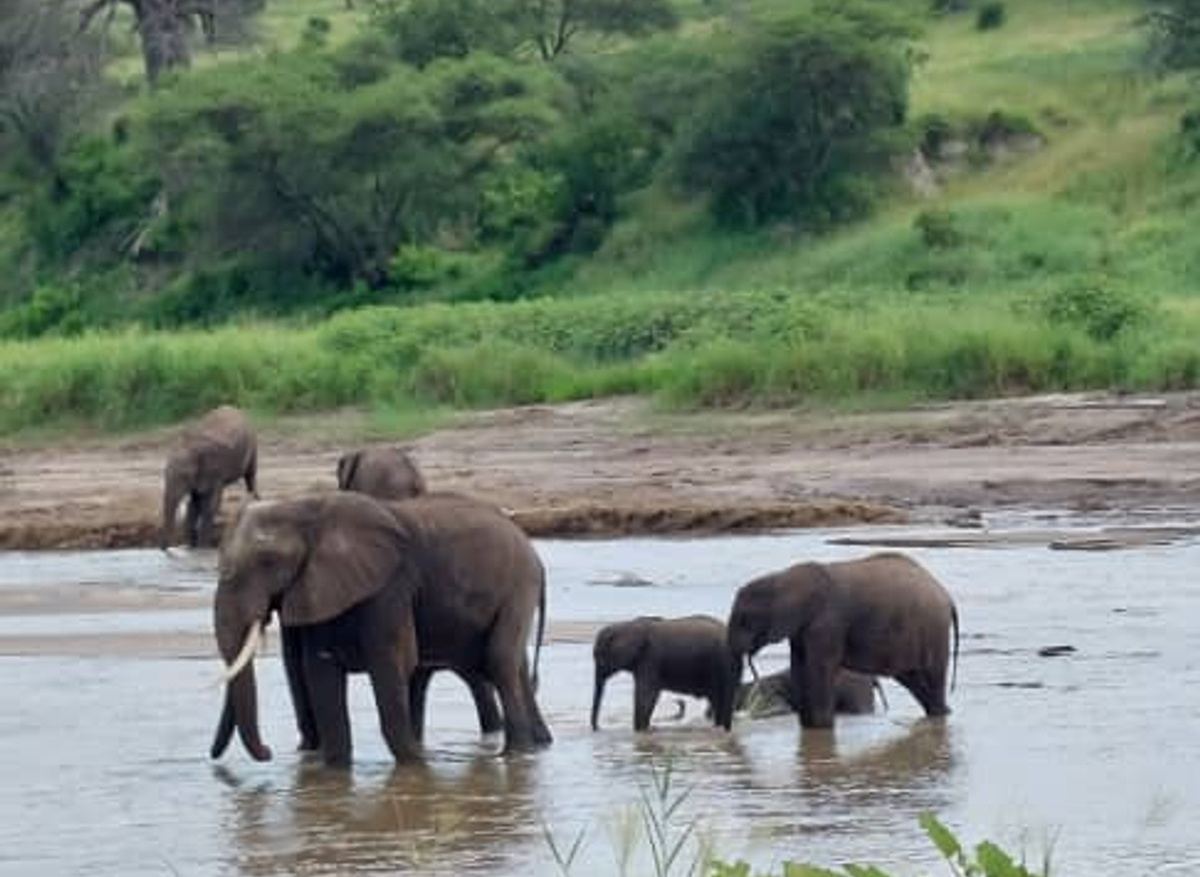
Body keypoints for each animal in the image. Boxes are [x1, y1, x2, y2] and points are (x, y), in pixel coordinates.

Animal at [160, 405, 258, 550]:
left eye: (185, 476)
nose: (164, 549)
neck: (192, 448)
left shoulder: (215, 471)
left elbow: (208, 505)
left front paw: (202, 547)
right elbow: (193, 506)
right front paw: (191, 547)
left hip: (253, 443)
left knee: (250, 475)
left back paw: (255, 500)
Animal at [210, 491, 551, 767]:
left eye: (268, 562)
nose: (268, 753)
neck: (305, 507)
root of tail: (532, 550)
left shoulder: (390, 585)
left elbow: (391, 661)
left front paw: (415, 766)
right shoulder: (320, 587)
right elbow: (321, 672)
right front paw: (337, 772)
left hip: (519, 585)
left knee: (498, 661)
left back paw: (514, 755)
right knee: (507, 666)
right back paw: (539, 744)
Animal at [591, 615, 741, 732]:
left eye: (600, 659)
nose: (598, 728)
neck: (626, 625)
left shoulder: (650, 658)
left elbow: (646, 695)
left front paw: (641, 730)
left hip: (724, 665)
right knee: (717, 700)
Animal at [726, 552, 959, 729]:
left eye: (744, 619)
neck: (782, 578)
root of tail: (946, 595)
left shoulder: (828, 623)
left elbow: (819, 668)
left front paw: (821, 728)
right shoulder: (802, 630)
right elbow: (800, 667)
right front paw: (809, 727)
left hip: (934, 629)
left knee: (932, 677)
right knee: (912, 678)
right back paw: (942, 713)